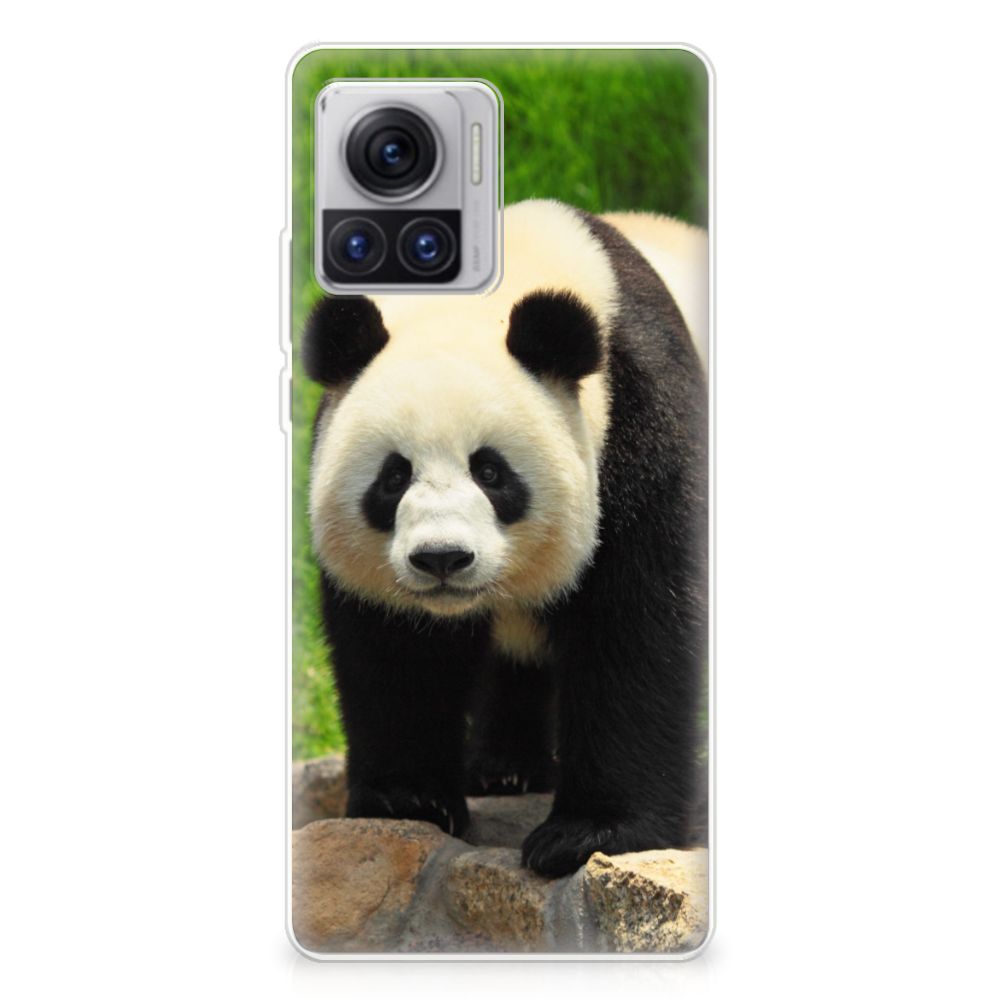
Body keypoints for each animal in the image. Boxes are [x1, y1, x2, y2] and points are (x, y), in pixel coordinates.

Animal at [303, 199, 708, 877]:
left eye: (491, 472)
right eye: (393, 476)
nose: (442, 558)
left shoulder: (642, 423)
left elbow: (637, 625)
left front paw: (589, 833)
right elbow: (395, 649)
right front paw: (408, 800)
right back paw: (504, 769)